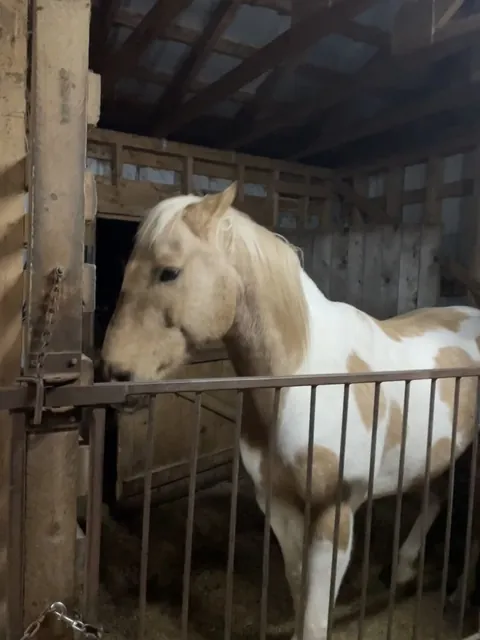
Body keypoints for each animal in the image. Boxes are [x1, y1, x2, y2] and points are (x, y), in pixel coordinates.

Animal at [101, 182, 480, 640]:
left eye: (168, 272)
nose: (114, 373)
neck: (304, 379)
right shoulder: (279, 505)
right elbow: (301, 591)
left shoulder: (334, 514)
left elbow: (317, 612)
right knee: (437, 497)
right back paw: (405, 569)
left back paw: (458, 597)